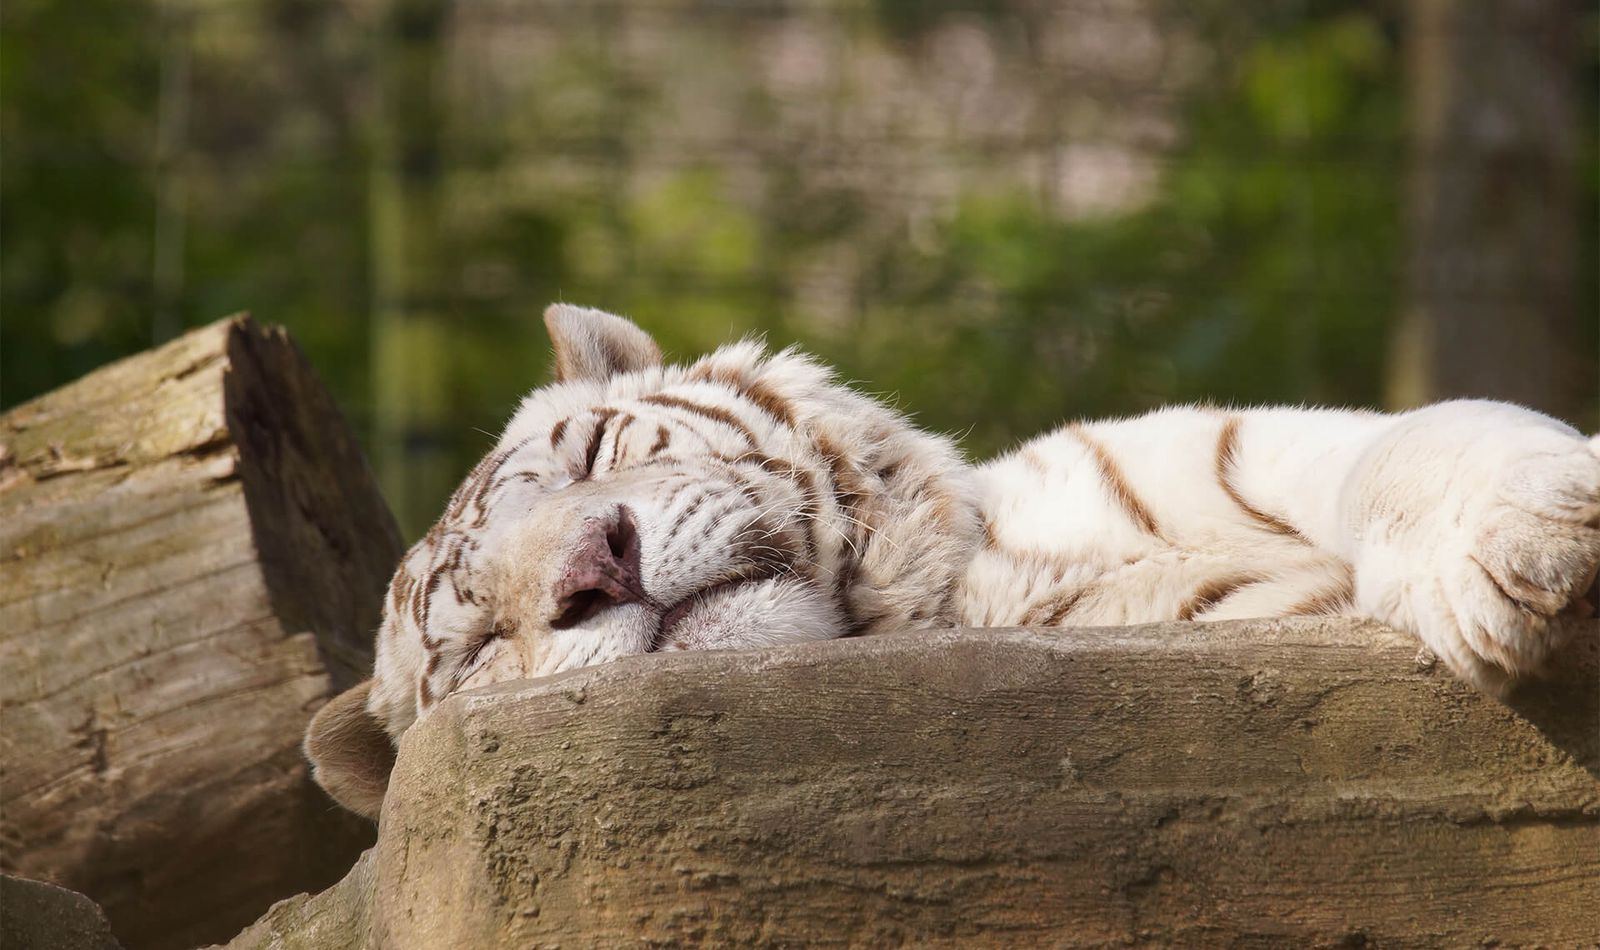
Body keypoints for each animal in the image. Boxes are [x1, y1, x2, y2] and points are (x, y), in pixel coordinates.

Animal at [305, 304, 1600, 817]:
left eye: (590, 454)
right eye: (479, 640)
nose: (598, 562)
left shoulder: (1262, 444)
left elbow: (1429, 439)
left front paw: (1539, 541)